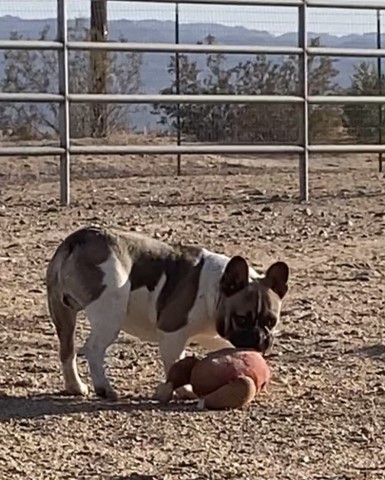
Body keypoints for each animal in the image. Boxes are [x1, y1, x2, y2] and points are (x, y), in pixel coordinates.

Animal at [45, 227, 288, 400]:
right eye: (241, 319)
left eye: (271, 321)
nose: (260, 339)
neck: (215, 287)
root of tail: (77, 240)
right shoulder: (173, 333)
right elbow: (175, 364)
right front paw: (184, 390)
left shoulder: (211, 334)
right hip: (110, 313)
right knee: (94, 349)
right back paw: (104, 387)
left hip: (64, 313)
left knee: (67, 350)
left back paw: (75, 386)